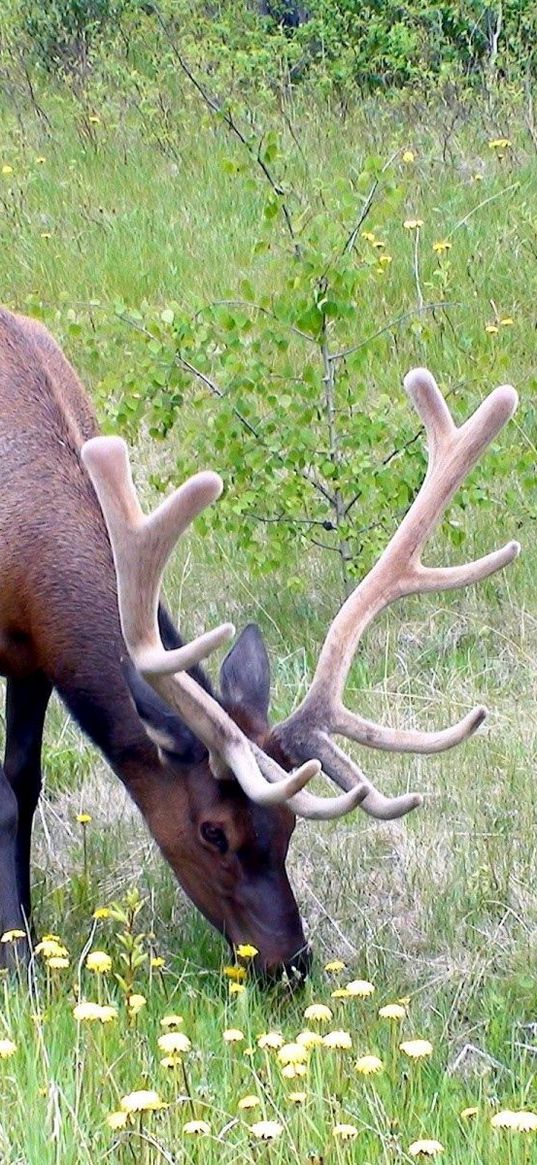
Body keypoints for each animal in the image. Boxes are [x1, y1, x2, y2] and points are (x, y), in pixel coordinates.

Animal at [0, 305, 519, 978]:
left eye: (288, 826)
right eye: (212, 831)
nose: (290, 964)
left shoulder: (33, 659)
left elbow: (23, 782)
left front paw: (25, 937)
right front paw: (18, 956)